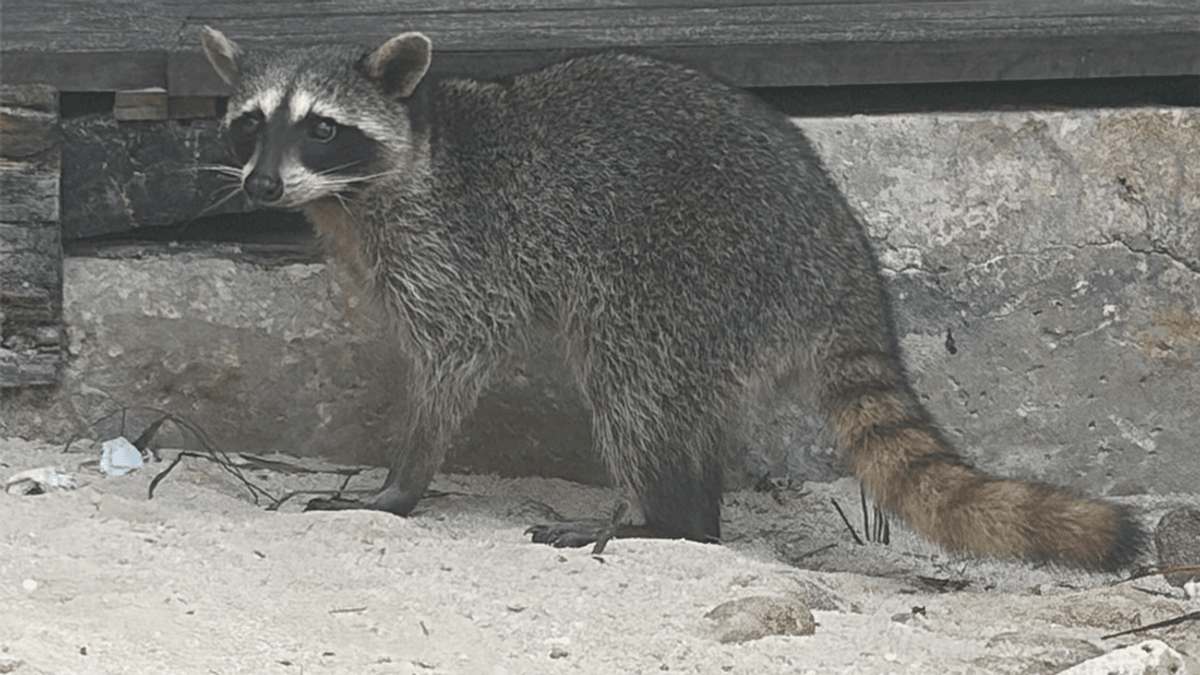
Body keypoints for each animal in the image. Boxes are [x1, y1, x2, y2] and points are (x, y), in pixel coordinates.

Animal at [200, 26, 1141, 569]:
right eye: (250, 124)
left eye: (322, 127)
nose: (260, 185)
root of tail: (839, 255)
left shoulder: (455, 247)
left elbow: (459, 355)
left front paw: (405, 478)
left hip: (690, 276)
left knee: (631, 382)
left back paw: (671, 517)